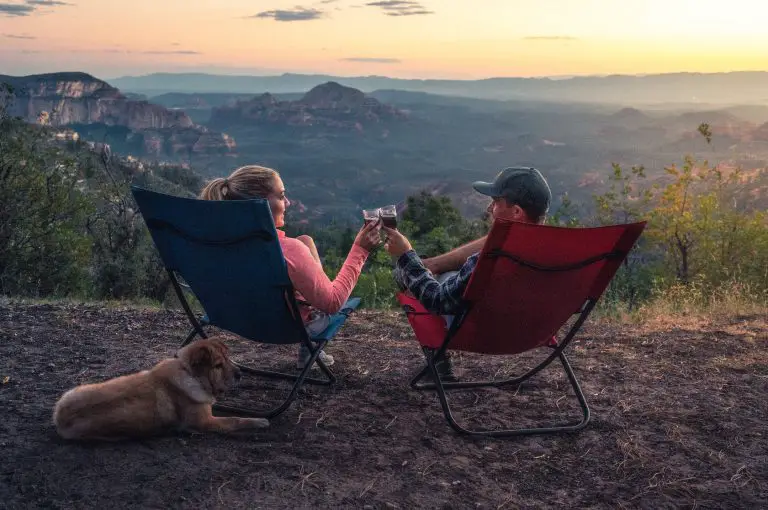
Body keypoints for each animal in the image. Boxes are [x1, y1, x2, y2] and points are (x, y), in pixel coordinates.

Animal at [52, 336, 268, 440]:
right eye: (218, 365)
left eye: (228, 358)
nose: (240, 374)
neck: (190, 374)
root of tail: (60, 417)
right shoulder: (205, 422)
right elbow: (235, 419)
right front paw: (259, 421)